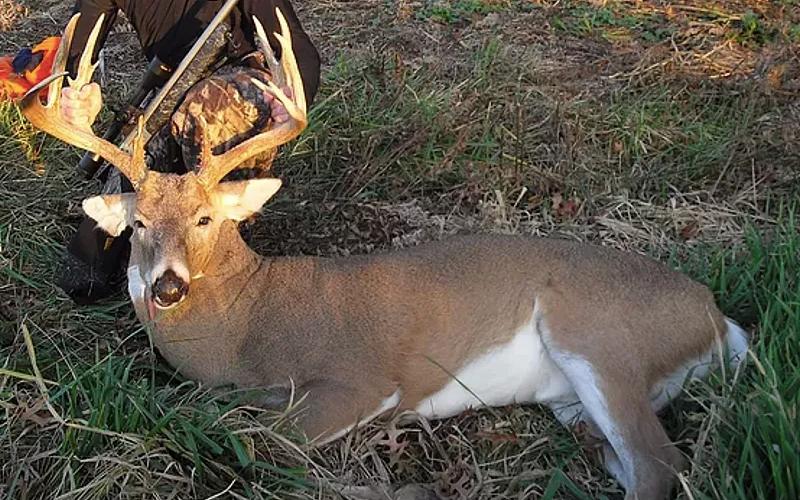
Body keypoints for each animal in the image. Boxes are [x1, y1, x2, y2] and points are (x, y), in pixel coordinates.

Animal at [21, 9, 749, 500]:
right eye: (139, 223)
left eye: (205, 216)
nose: (168, 287)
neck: (247, 323)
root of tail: (718, 318)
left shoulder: (360, 380)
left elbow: (262, 437)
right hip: (579, 403)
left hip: (600, 336)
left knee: (660, 464)